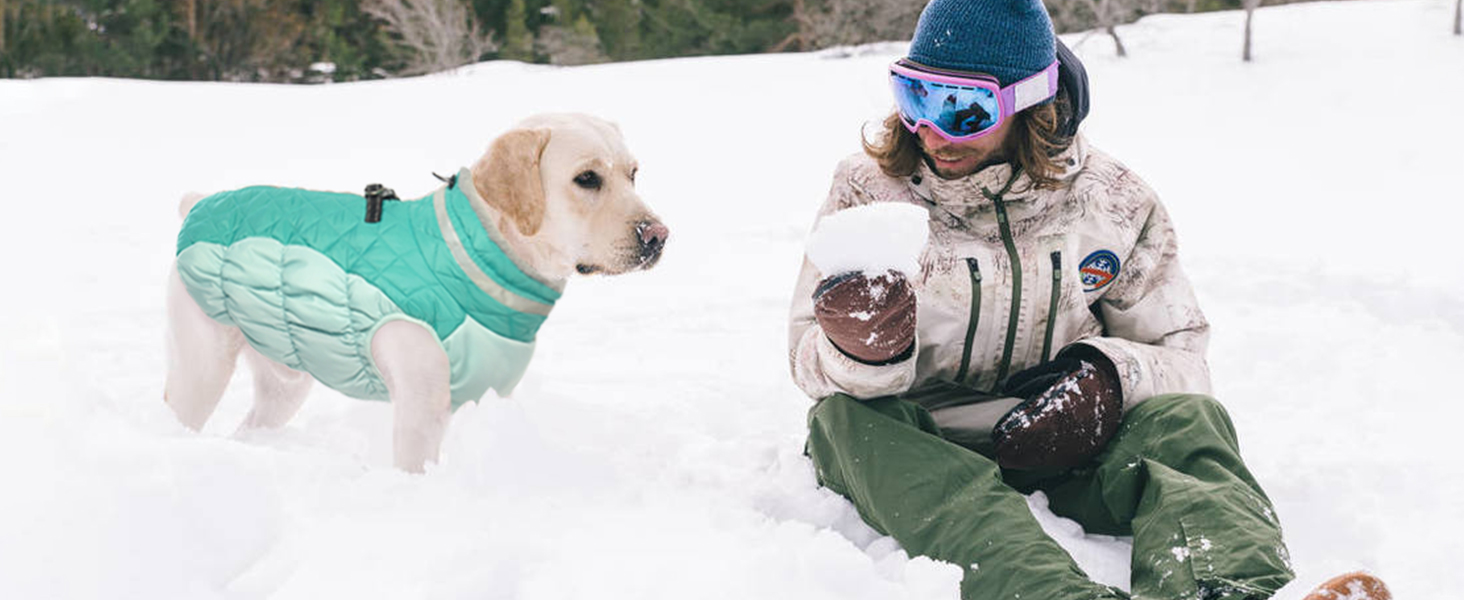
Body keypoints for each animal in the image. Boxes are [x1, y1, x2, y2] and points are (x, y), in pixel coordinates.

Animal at [167, 114, 670, 471]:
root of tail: (199, 203)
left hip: (284, 381)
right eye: (587, 178)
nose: (658, 236)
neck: (473, 255)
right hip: (203, 364)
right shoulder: (421, 404)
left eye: (633, 174)